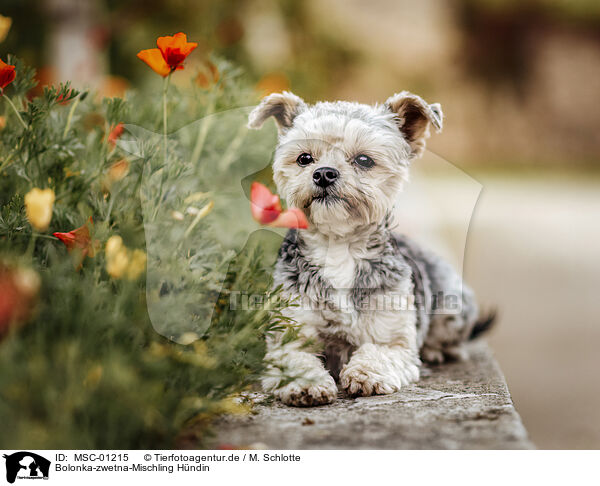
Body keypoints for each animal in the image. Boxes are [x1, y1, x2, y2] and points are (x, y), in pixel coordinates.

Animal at [245, 91, 492, 406]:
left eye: (364, 160)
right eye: (304, 158)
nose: (323, 173)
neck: (339, 246)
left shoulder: (392, 340)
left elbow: (377, 352)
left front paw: (364, 375)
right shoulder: (289, 337)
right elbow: (295, 358)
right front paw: (306, 383)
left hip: (454, 304)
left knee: (452, 341)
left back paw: (436, 351)